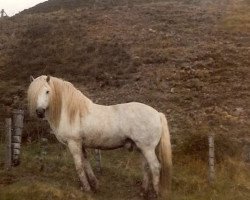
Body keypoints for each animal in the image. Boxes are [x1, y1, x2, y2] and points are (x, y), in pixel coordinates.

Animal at [27, 75, 172, 198]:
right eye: (34, 93)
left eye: (47, 91)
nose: (39, 112)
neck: (71, 112)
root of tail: (157, 114)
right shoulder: (81, 145)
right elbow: (86, 163)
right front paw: (94, 185)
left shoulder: (73, 143)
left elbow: (79, 166)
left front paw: (86, 188)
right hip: (141, 148)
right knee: (146, 167)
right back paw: (143, 191)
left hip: (147, 148)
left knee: (155, 167)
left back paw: (155, 194)